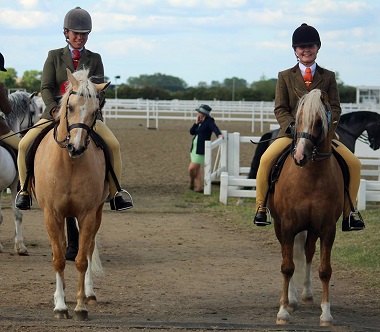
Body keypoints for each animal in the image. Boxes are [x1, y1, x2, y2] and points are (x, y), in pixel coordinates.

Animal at [32, 68, 110, 320]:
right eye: (71, 107)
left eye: (95, 111)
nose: (76, 147)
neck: (70, 164)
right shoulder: (51, 214)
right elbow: (58, 259)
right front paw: (60, 305)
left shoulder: (87, 215)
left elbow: (81, 260)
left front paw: (80, 305)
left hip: (97, 213)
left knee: (89, 249)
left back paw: (89, 293)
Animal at [268, 89, 344, 328]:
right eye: (297, 120)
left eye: (319, 122)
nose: (300, 155)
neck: (311, 176)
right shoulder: (288, 226)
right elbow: (287, 266)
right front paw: (283, 312)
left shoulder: (328, 229)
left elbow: (325, 270)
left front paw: (326, 314)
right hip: (281, 226)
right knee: (290, 255)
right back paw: (291, 299)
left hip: (311, 228)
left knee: (308, 253)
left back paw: (307, 294)